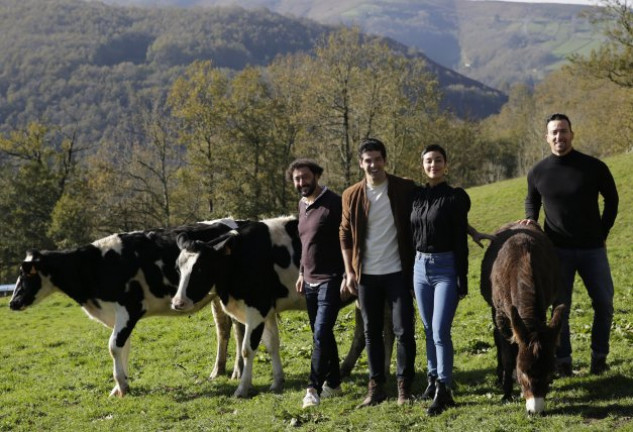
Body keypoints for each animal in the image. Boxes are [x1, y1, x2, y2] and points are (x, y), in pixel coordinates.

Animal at [9, 219, 247, 398]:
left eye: (26, 274)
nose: (12, 302)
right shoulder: (118, 315)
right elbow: (123, 347)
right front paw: (119, 387)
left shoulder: (129, 309)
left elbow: (114, 347)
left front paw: (122, 385)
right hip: (217, 297)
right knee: (224, 329)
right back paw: (218, 371)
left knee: (238, 329)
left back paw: (237, 371)